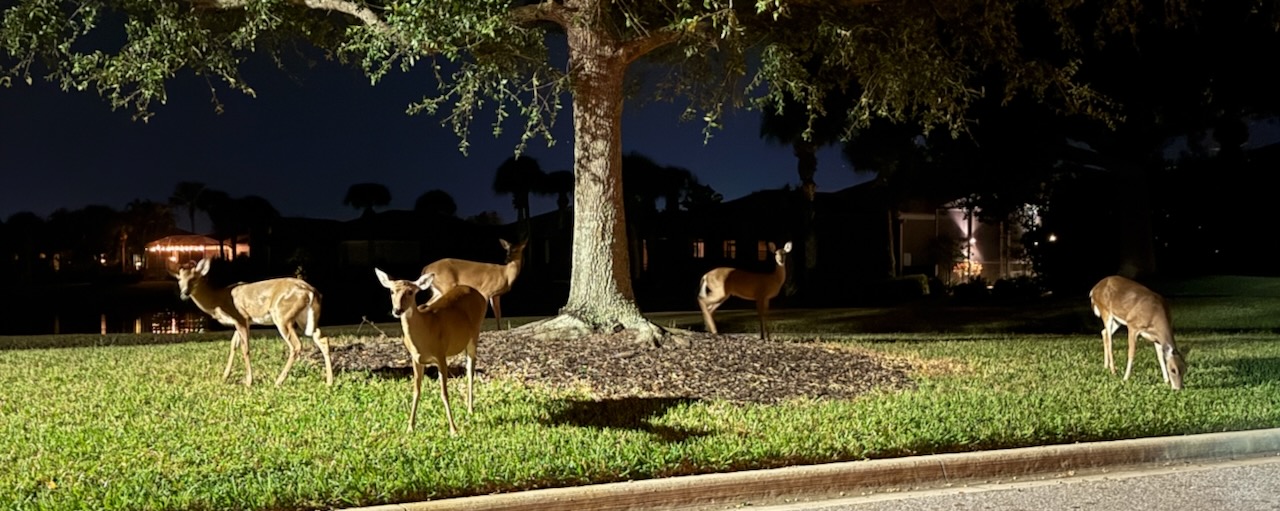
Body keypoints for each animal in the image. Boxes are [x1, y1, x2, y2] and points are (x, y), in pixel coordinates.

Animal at [171, 258, 334, 387]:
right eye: (179, 279)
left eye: (194, 278)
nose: (184, 293)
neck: (219, 300)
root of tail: (311, 291)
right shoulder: (243, 322)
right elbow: (233, 345)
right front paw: (224, 376)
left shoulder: (241, 317)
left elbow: (245, 348)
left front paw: (249, 381)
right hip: (304, 318)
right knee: (322, 338)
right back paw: (329, 381)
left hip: (282, 315)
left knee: (296, 345)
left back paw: (278, 381)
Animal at [375, 268, 488, 434]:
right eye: (391, 291)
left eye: (410, 292)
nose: (397, 310)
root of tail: (478, 294)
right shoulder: (416, 359)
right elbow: (416, 391)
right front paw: (410, 427)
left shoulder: (441, 355)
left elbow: (444, 393)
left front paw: (453, 430)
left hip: (475, 335)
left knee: (470, 371)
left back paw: (470, 410)